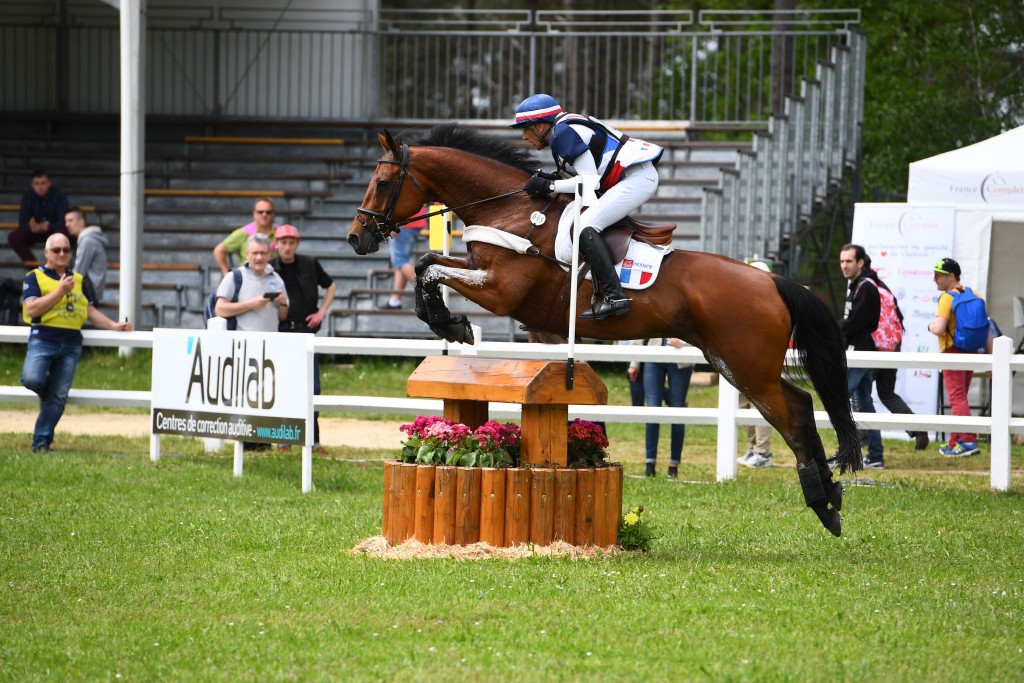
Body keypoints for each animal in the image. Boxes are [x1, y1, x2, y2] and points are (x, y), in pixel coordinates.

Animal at [348, 125, 860, 536]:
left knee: (793, 416)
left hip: (747, 365)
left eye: (382, 182)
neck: (509, 209)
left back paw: (823, 503)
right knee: (802, 404)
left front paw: (448, 321)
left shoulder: (500, 291)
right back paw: (831, 498)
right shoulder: (478, 269)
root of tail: (772, 280)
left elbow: (430, 269)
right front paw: (448, 321)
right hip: (730, 361)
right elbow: (427, 262)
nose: (357, 237)